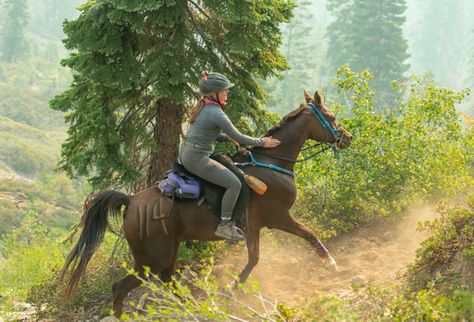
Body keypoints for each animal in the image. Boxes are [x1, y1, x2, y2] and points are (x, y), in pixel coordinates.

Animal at [60, 89, 352, 316]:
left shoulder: (253, 228)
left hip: (168, 251)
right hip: (150, 259)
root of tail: (131, 201)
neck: (271, 164)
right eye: (331, 117)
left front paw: (233, 290)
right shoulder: (279, 217)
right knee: (121, 288)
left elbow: (254, 259)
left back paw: (193, 306)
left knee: (167, 281)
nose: (347, 137)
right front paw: (331, 263)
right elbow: (309, 234)